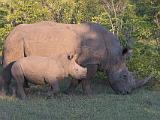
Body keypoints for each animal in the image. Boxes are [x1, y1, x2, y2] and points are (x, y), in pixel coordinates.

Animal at [0, 21, 152, 94]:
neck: (113, 56)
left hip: (19, 39)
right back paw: (5, 94)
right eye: (124, 76)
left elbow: (77, 78)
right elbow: (87, 79)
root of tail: (11, 32)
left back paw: (25, 89)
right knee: (9, 64)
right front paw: (90, 95)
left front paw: (68, 93)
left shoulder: (82, 61)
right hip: (14, 40)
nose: (127, 93)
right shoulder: (91, 62)